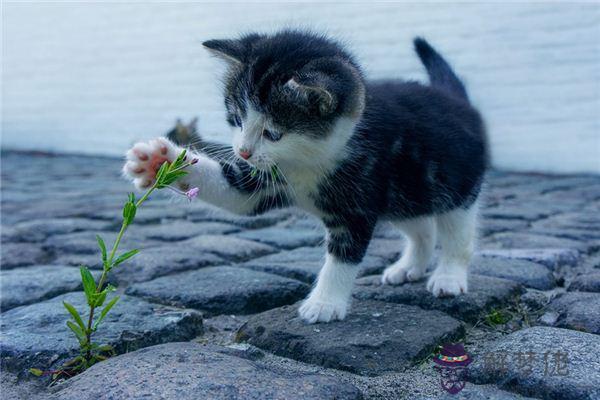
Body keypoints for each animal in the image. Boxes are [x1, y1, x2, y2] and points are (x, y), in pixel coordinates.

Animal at [122, 30, 488, 324]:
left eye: (272, 133)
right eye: (236, 118)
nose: (242, 151)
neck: (308, 161)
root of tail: (457, 100)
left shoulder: (358, 200)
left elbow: (343, 256)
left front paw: (324, 303)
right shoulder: (264, 179)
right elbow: (235, 193)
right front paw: (159, 161)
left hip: (455, 186)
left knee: (457, 233)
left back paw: (448, 276)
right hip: (405, 194)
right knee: (421, 227)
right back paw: (409, 266)